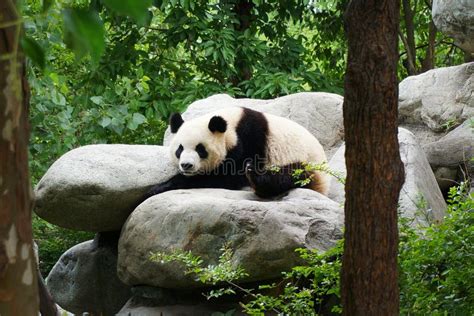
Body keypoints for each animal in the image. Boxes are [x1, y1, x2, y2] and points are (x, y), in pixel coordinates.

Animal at [147, 107, 330, 199]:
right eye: (180, 149)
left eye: (200, 149)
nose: (186, 165)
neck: (231, 125)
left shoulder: (250, 139)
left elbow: (227, 177)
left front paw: (161, 186)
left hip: (310, 166)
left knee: (290, 174)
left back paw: (257, 179)